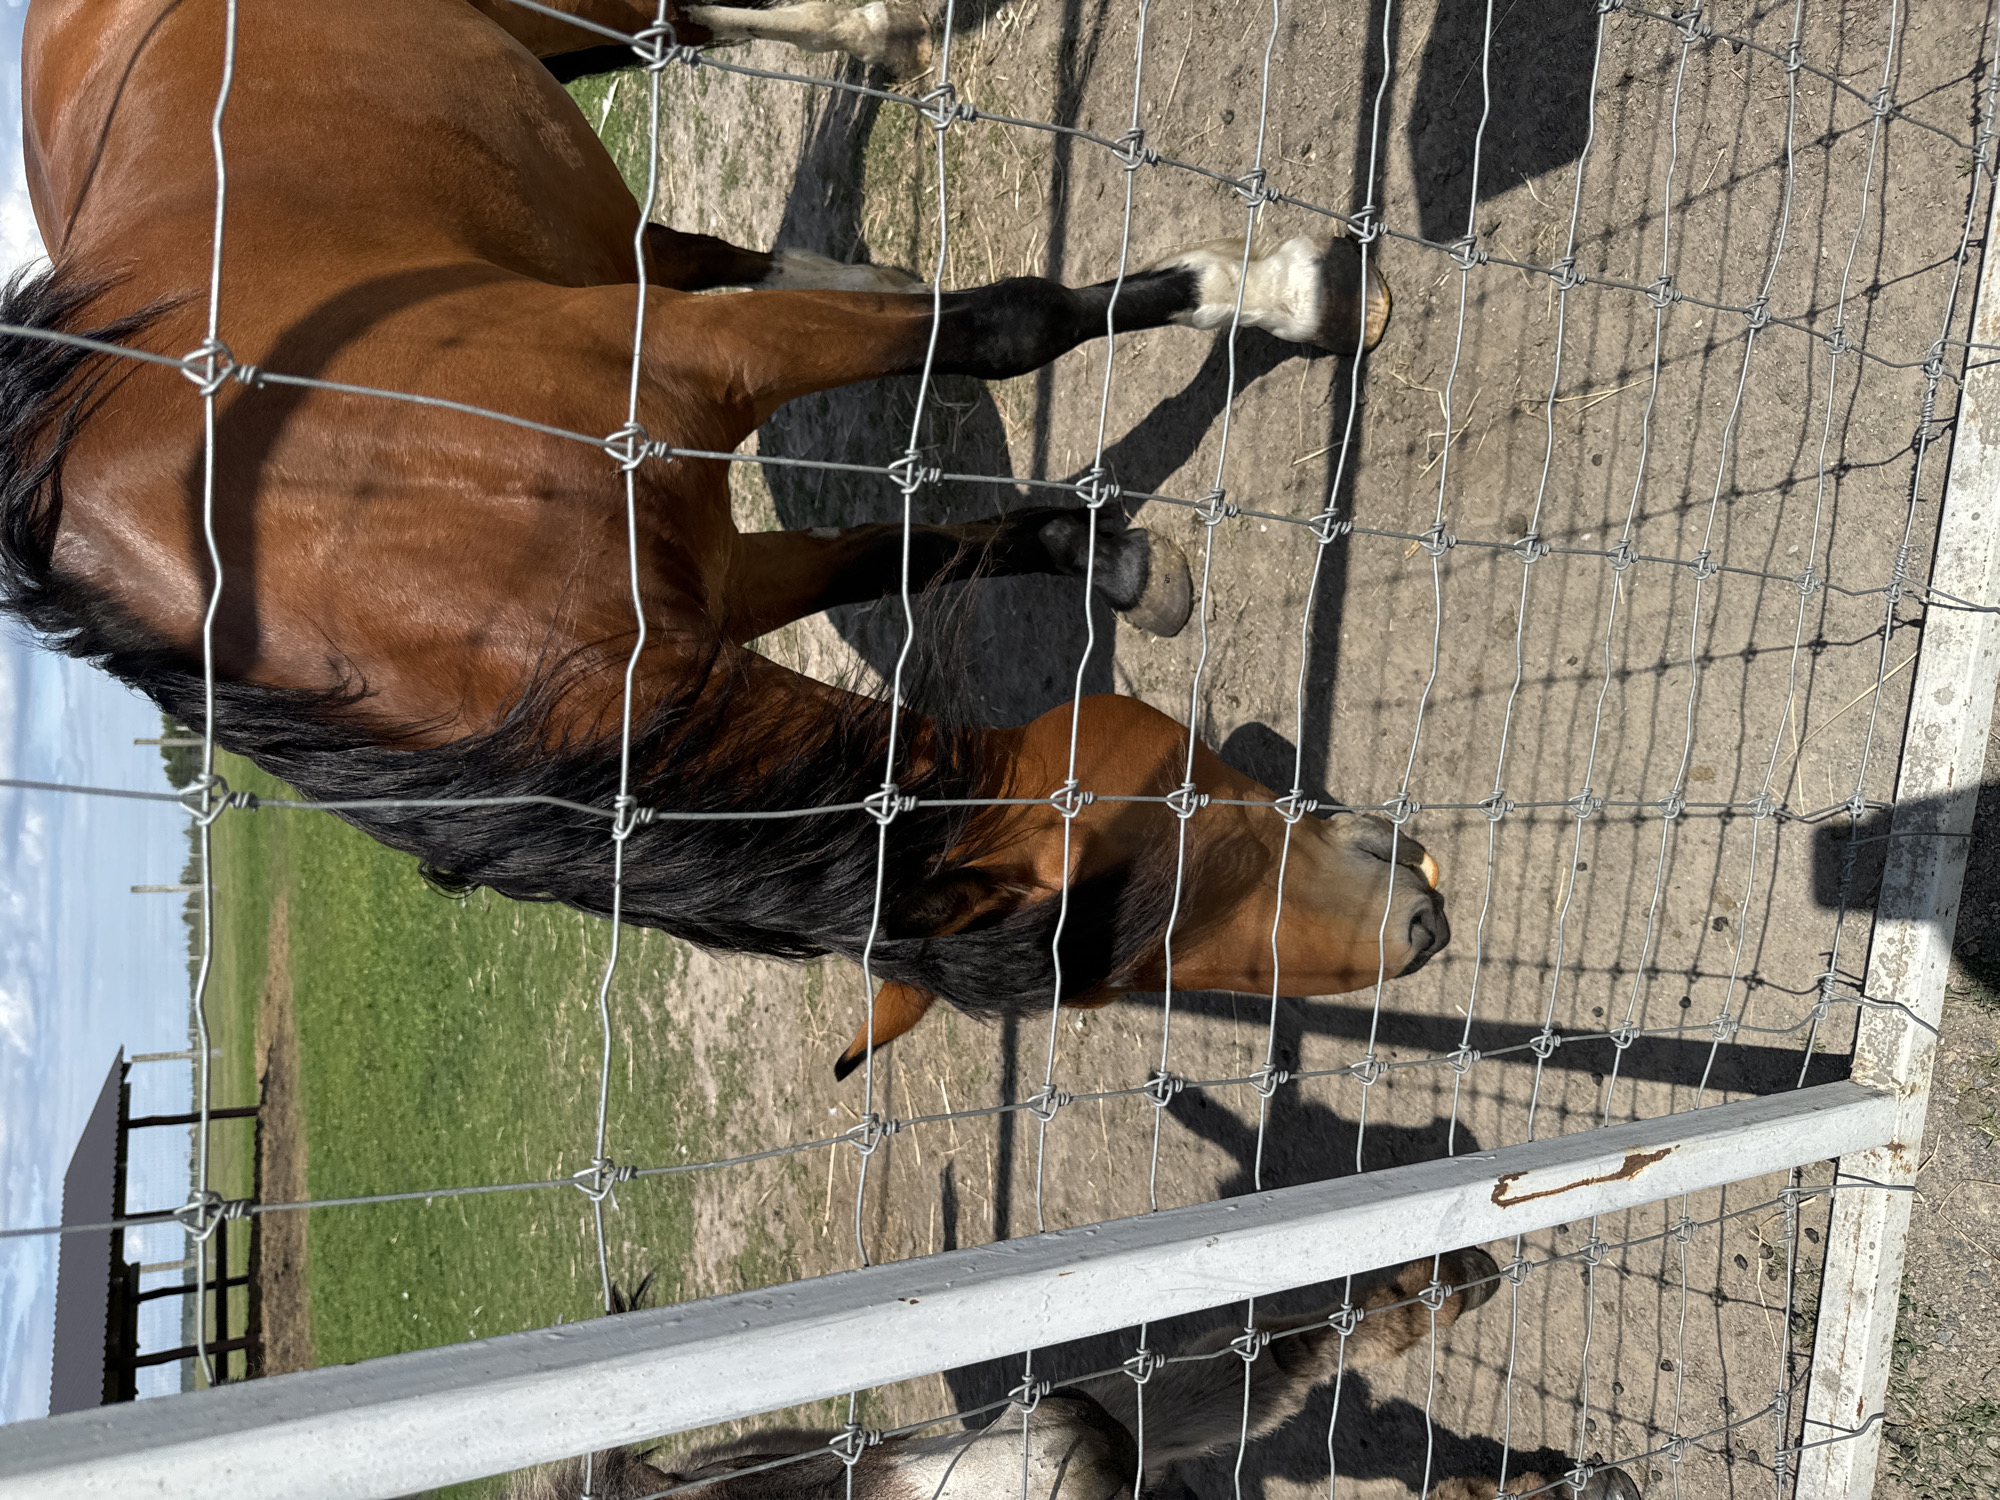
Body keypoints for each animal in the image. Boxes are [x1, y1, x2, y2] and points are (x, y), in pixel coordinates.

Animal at [4, 0, 1444, 1076]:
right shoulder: (711, 578)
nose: (1423, 923)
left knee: (688, 42)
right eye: (1202, 873)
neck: (385, 545)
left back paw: (878, 35)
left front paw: (1293, 296)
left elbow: (1000, 331)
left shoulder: (706, 397)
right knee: (684, 239)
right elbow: (917, 515)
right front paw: (1106, 546)